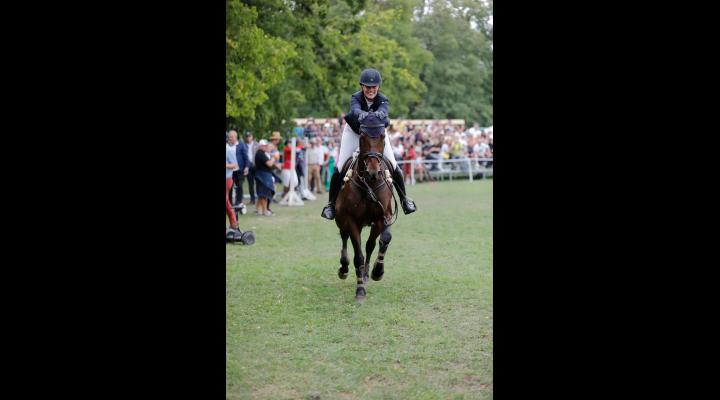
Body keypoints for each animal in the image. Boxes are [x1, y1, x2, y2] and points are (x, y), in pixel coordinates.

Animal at [334, 128, 396, 300]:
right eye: (362, 138)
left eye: (383, 137)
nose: (372, 173)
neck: (369, 184)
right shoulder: (351, 221)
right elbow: (358, 256)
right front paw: (360, 290)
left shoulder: (383, 217)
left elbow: (380, 241)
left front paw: (377, 271)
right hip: (341, 219)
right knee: (344, 237)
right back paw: (344, 268)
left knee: (369, 245)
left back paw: (367, 273)